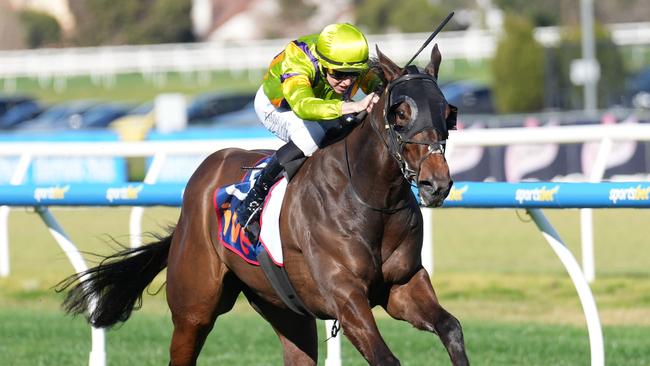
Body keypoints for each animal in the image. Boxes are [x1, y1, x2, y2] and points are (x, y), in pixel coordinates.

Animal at [58, 46, 466, 366]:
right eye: (400, 113)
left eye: (447, 112)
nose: (436, 184)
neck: (370, 196)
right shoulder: (346, 296)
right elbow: (386, 358)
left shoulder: (402, 285)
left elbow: (451, 328)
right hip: (194, 307)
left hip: (285, 308)